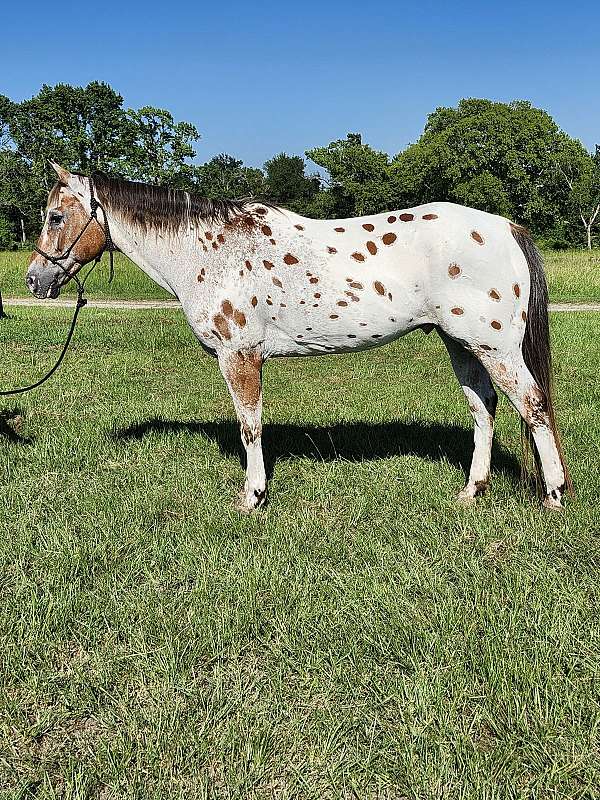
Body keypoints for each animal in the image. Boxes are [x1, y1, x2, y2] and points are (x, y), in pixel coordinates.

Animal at [25, 164, 568, 512]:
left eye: (55, 216)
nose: (34, 280)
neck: (209, 249)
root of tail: (506, 228)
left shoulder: (240, 356)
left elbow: (250, 428)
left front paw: (252, 497)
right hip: (462, 344)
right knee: (484, 409)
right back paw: (472, 492)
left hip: (496, 348)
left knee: (533, 406)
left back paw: (554, 497)